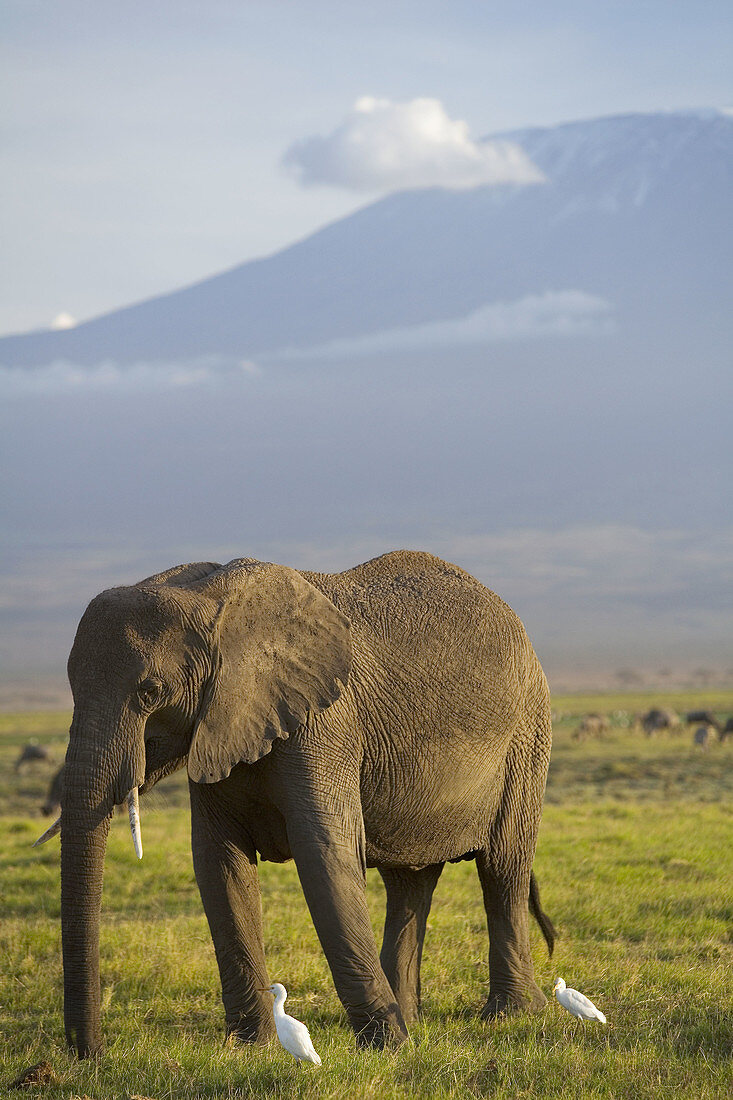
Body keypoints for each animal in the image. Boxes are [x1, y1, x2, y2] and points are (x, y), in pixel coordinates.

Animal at [50, 550, 554, 1056]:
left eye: (150, 692)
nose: (89, 1053)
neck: (214, 602)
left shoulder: (324, 723)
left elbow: (324, 857)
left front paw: (387, 1047)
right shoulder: (216, 729)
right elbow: (219, 864)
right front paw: (250, 1049)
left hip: (526, 737)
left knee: (503, 869)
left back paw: (507, 1015)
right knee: (410, 883)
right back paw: (413, 1016)